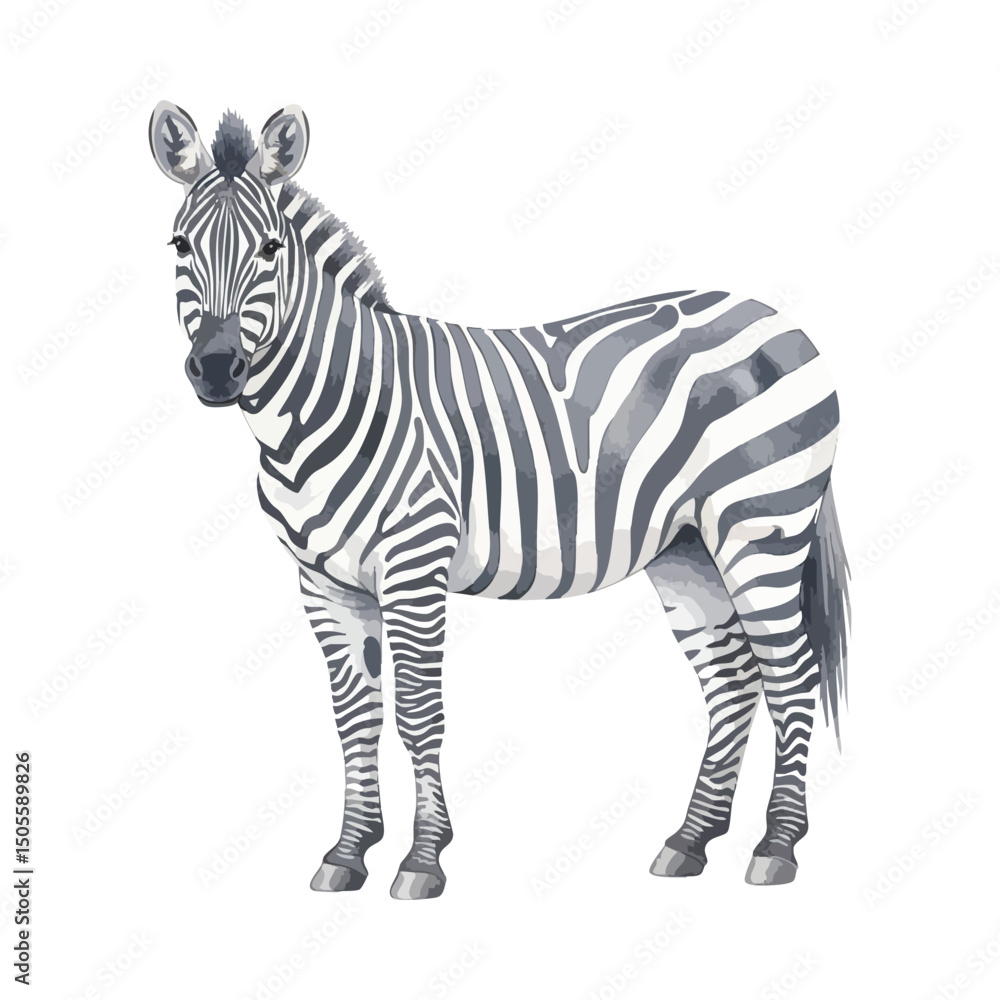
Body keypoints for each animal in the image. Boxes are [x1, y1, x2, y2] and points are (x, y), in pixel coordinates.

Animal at [149, 100, 850, 899]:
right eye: (179, 244)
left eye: (270, 248)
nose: (216, 369)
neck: (326, 406)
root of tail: (781, 320)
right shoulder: (323, 582)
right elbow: (354, 716)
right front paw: (348, 853)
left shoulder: (414, 564)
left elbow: (419, 712)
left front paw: (423, 859)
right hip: (688, 550)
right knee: (732, 682)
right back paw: (690, 841)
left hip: (761, 526)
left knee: (790, 674)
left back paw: (777, 847)